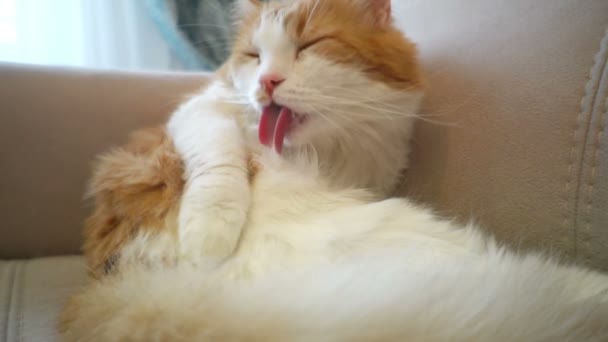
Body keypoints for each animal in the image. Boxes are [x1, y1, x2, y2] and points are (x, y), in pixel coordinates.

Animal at [81, 0, 426, 278]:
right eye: (253, 56)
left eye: (309, 45)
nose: (267, 81)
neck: (323, 151)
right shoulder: (199, 110)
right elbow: (218, 166)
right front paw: (210, 230)